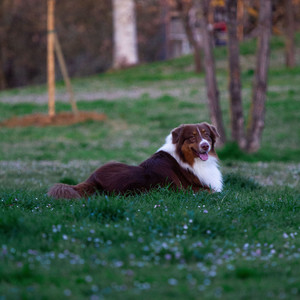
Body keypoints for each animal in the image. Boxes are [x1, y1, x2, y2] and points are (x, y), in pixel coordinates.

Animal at [47, 122, 223, 199]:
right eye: (192, 137)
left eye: (206, 135)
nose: (205, 145)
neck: (186, 159)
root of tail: (92, 179)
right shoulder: (186, 190)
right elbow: (214, 191)